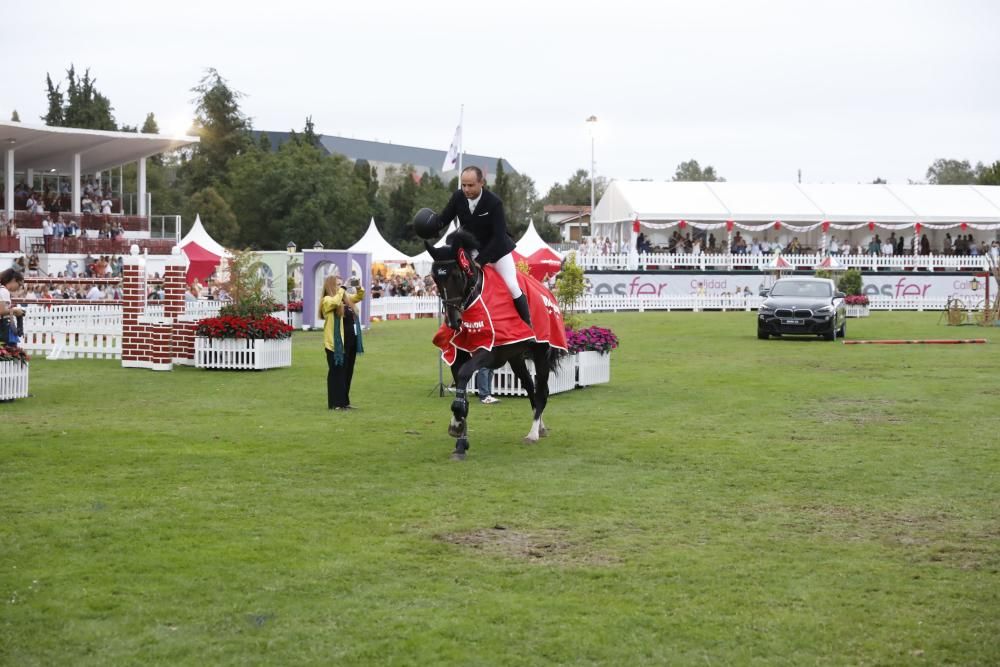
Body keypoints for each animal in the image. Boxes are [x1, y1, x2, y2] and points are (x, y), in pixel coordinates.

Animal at [426, 232, 568, 462]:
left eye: (456, 275)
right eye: (435, 278)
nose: (453, 322)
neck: (473, 299)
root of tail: (548, 293)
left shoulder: (488, 353)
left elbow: (465, 376)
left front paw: (456, 424)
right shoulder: (459, 356)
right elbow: (463, 389)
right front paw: (460, 443)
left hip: (540, 354)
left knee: (541, 391)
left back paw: (533, 433)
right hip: (516, 357)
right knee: (530, 387)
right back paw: (541, 427)